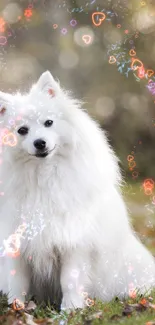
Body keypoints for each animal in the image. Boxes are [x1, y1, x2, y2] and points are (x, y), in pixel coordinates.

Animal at [0, 71, 154, 308]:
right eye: (22, 130)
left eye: (49, 123)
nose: (39, 142)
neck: (44, 176)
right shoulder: (17, 239)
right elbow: (18, 279)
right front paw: (15, 306)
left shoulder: (74, 241)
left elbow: (69, 279)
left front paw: (71, 308)